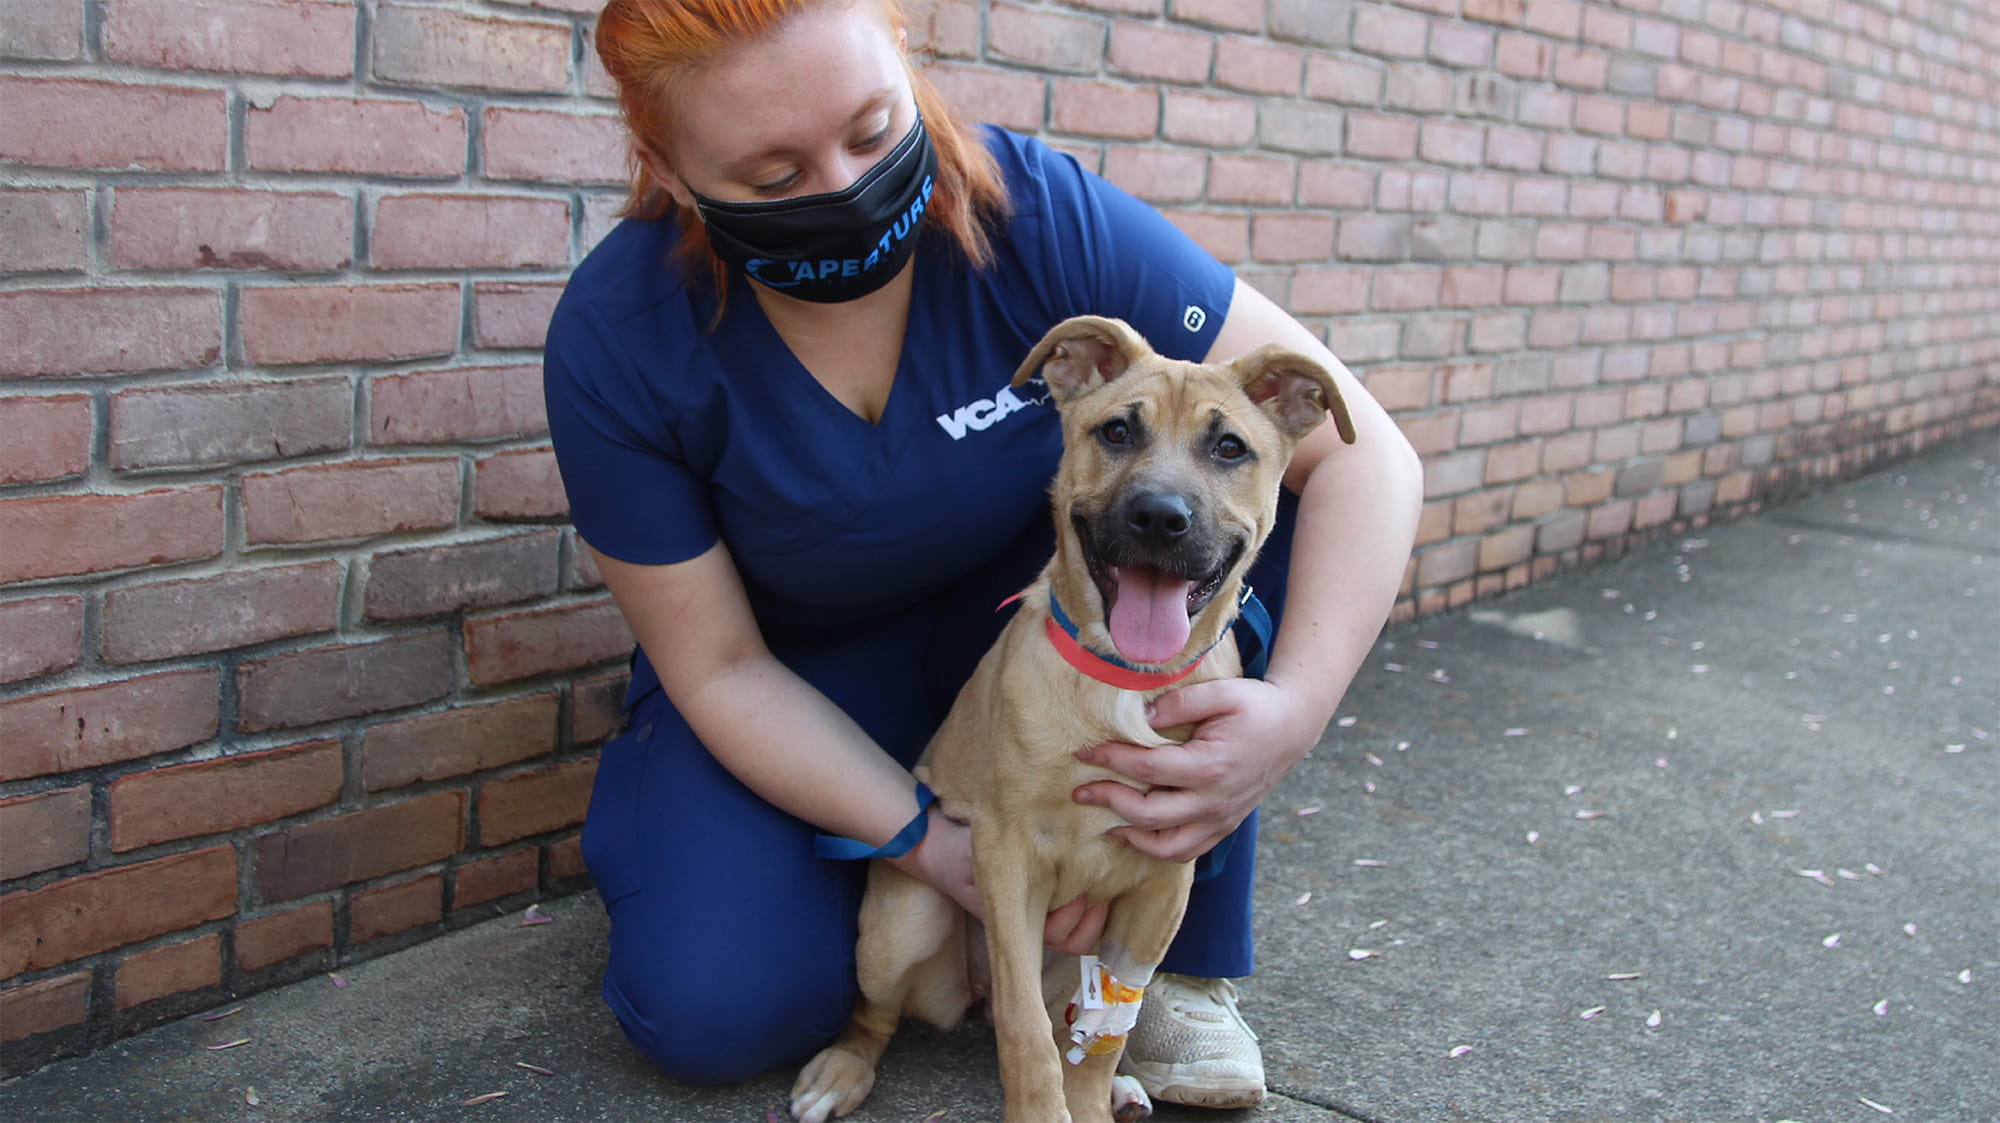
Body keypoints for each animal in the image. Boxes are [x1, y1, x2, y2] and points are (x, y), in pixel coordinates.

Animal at [788, 315, 1352, 1119]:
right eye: (1116, 431)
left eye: (1229, 447)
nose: (1159, 518)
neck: (1124, 678)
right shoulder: (1006, 858)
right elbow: (1023, 1030)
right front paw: (1042, 1110)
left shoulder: (1161, 885)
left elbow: (1107, 1025)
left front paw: (1089, 1098)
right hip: (900, 927)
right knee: (885, 1014)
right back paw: (840, 1072)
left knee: (1073, 1023)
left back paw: (1119, 1088)